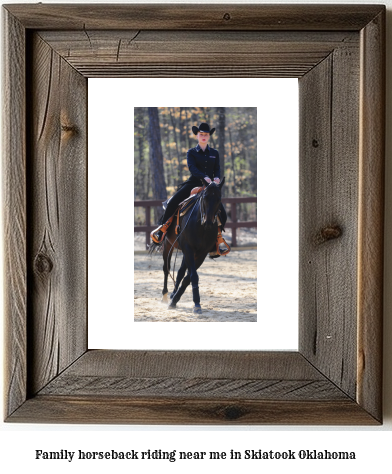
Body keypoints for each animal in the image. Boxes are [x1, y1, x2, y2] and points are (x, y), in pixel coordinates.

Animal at [149, 178, 225, 314]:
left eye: (219, 198)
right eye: (204, 197)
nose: (208, 222)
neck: (201, 227)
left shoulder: (201, 253)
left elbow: (187, 278)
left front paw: (176, 300)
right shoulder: (188, 249)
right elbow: (193, 276)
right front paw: (196, 303)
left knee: (180, 272)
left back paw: (173, 294)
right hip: (168, 245)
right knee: (166, 268)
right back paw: (165, 296)